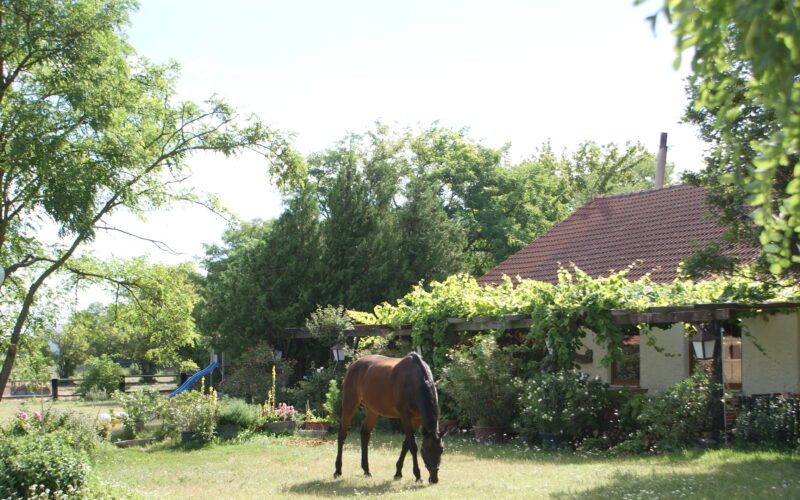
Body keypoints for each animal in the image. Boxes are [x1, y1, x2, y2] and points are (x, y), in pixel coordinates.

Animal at [333, 352, 446, 483]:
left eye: (441, 450)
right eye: (426, 450)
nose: (434, 479)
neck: (415, 381)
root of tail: (353, 364)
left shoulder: (417, 419)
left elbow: (406, 444)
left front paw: (398, 473)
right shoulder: (405, 416)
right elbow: (412, 446)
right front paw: (418, 475)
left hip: (372, 410)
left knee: (365, 434)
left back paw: (366, 470)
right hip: (349, 403)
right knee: (342, 434)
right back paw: (337, 470)